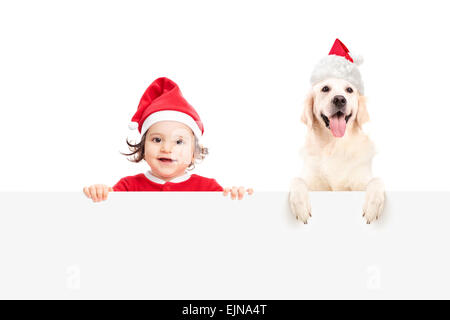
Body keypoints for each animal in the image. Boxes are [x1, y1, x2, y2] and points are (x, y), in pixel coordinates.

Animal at [290, 38, 384, 224]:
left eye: (349, 90)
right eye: (325, 88)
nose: (340, 99)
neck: (334, 145)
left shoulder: (360, 181)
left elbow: (377, 181)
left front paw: (373, 204)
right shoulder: (313, 182)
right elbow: (296, 180)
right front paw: (300, 205)